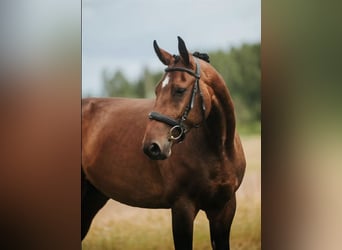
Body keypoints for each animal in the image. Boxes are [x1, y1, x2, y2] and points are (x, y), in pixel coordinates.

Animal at [82, 36, 246, 249]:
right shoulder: (182, 208)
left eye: (179, 90)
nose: (152, 146)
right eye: (157, 90)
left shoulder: (224, 209)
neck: (219, 151)